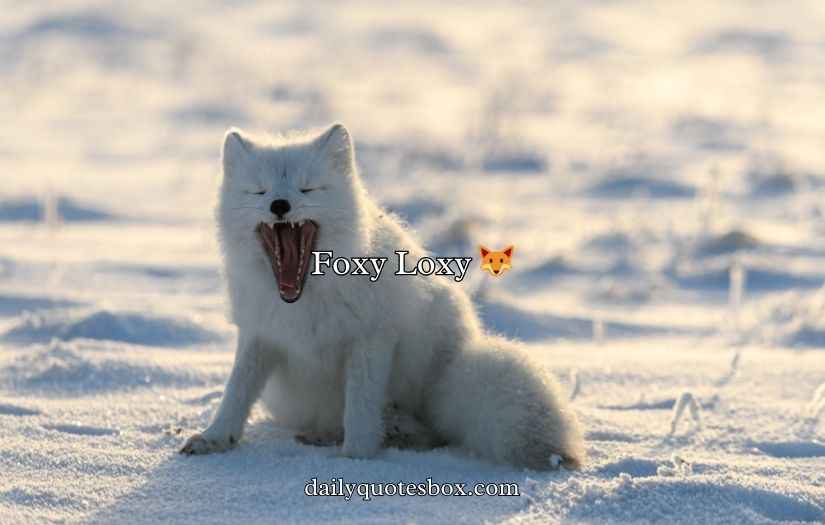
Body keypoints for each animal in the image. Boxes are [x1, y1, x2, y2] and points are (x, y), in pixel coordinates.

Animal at [180, 123, 585, 470]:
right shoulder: (259, 334)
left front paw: (354, 459)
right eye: (259, 191)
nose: (280, 205)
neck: (307, 297)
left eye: (308, 189)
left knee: (429, 431)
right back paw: (327, 435)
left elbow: (360, 408)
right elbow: (236, 392)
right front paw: (215, 438)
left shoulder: (371, 338)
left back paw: (394, 430)